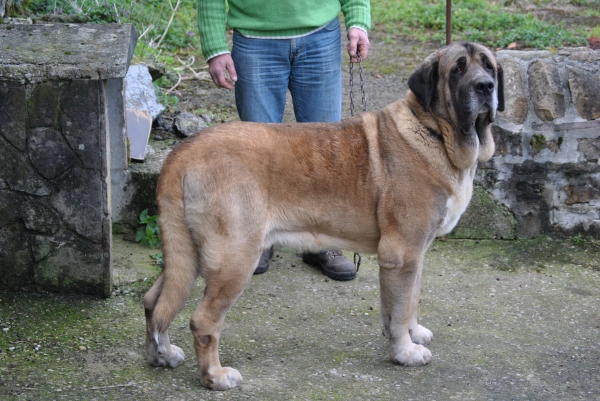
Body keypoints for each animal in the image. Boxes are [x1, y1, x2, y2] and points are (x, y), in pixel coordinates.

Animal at [143, 42, 504, 390]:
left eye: (488, 66)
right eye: (457, 69)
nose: (486, 86)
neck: (433, 131)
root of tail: (183, 150)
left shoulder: (417, 253)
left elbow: (410, 299)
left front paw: (414, 334)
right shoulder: (401, 254)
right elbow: (399, 310)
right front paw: (405, 351)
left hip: (187, 254)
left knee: (154, 301)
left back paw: (162, 355)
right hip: (234, 258)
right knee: (203, 320)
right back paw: (215, 377)